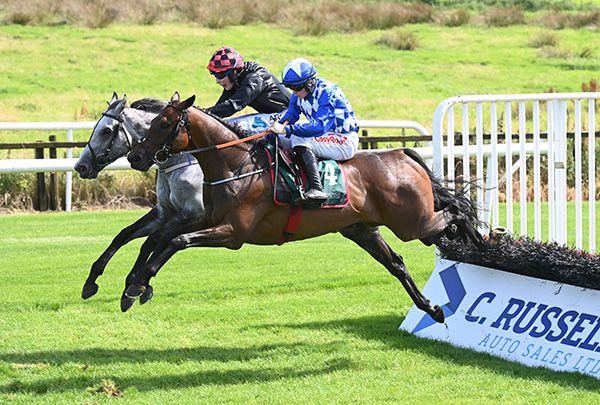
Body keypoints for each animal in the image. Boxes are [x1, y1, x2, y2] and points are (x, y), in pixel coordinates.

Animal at [74, 93, 206, 310]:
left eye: (106, 130)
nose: (80, 166)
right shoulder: (164, 212)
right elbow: (125, 235)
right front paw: (92, 280)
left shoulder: (195, 213)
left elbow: (155, 239)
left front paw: (136, 285)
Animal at [127, 91, 488, 322]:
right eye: (151, 122)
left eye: (164, 124)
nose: (135, 157)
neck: (236, 164)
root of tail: (400, 153)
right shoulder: (206, 219)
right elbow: (161, 238)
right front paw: (133, 284)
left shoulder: (232, 233)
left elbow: (176, 241)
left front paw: (139, 283)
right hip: (364, 229)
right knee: (398, 263)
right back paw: (433, 307)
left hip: (412, 223)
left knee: (455, 212)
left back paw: (482, 246)